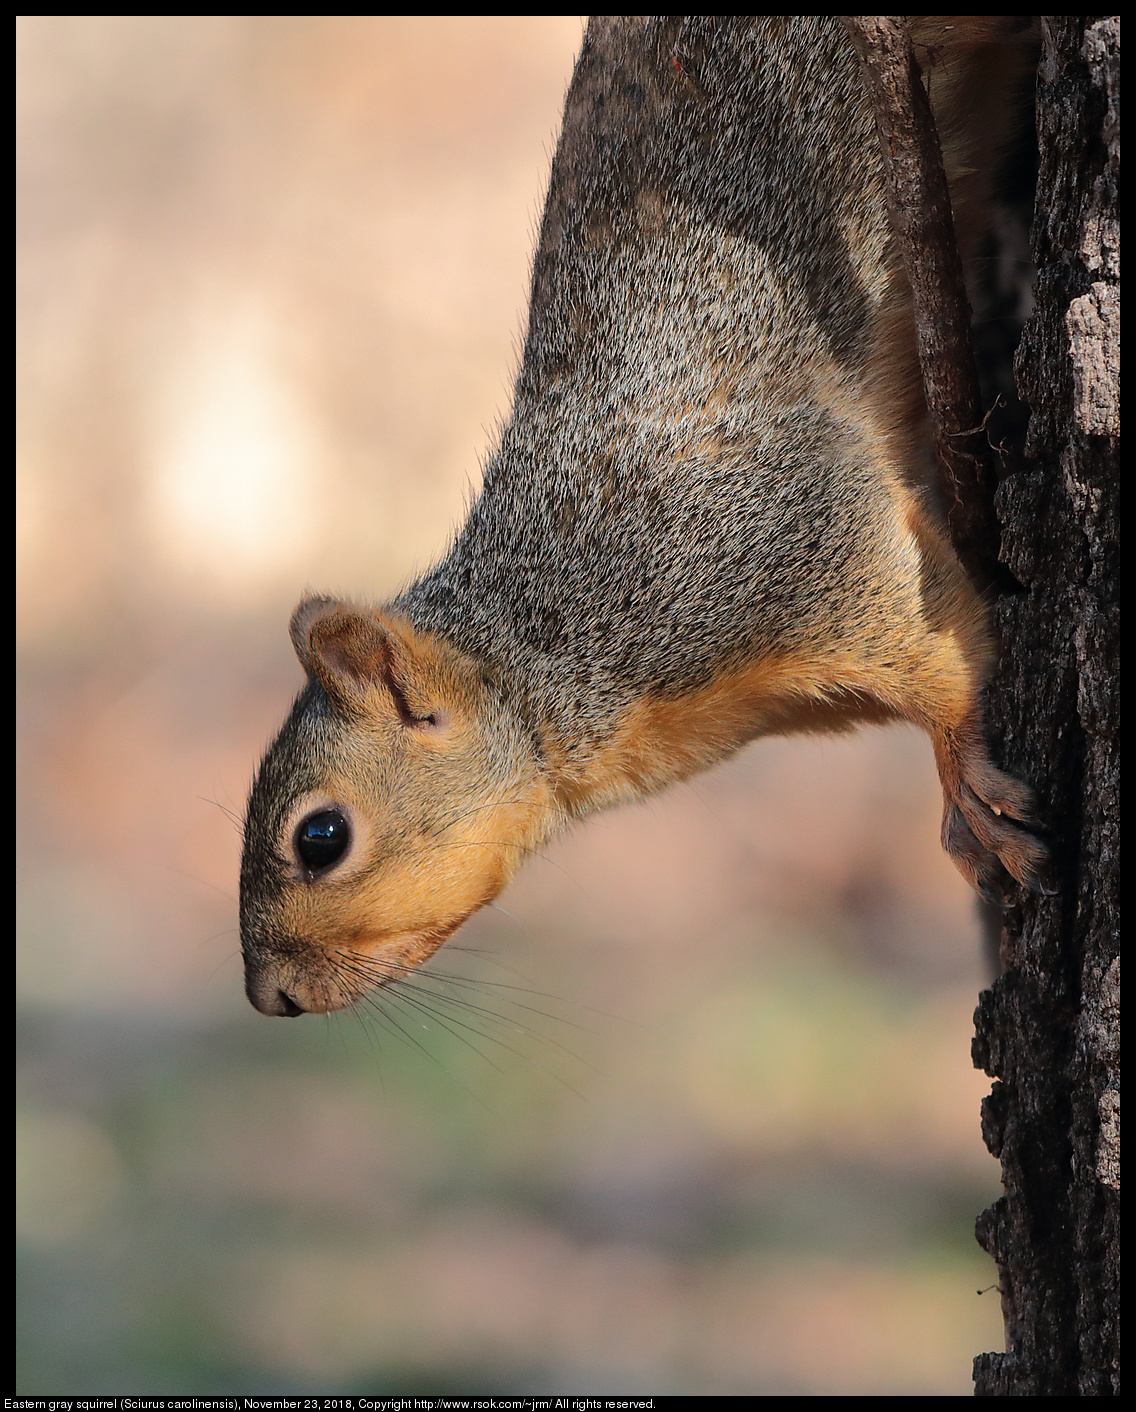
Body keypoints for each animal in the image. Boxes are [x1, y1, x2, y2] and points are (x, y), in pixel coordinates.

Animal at [239, 19, 1044, 1016]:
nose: (269, 997)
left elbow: (941, 654)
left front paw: (965, 783)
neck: (541, 652)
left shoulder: (772, 546)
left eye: (320, 838)